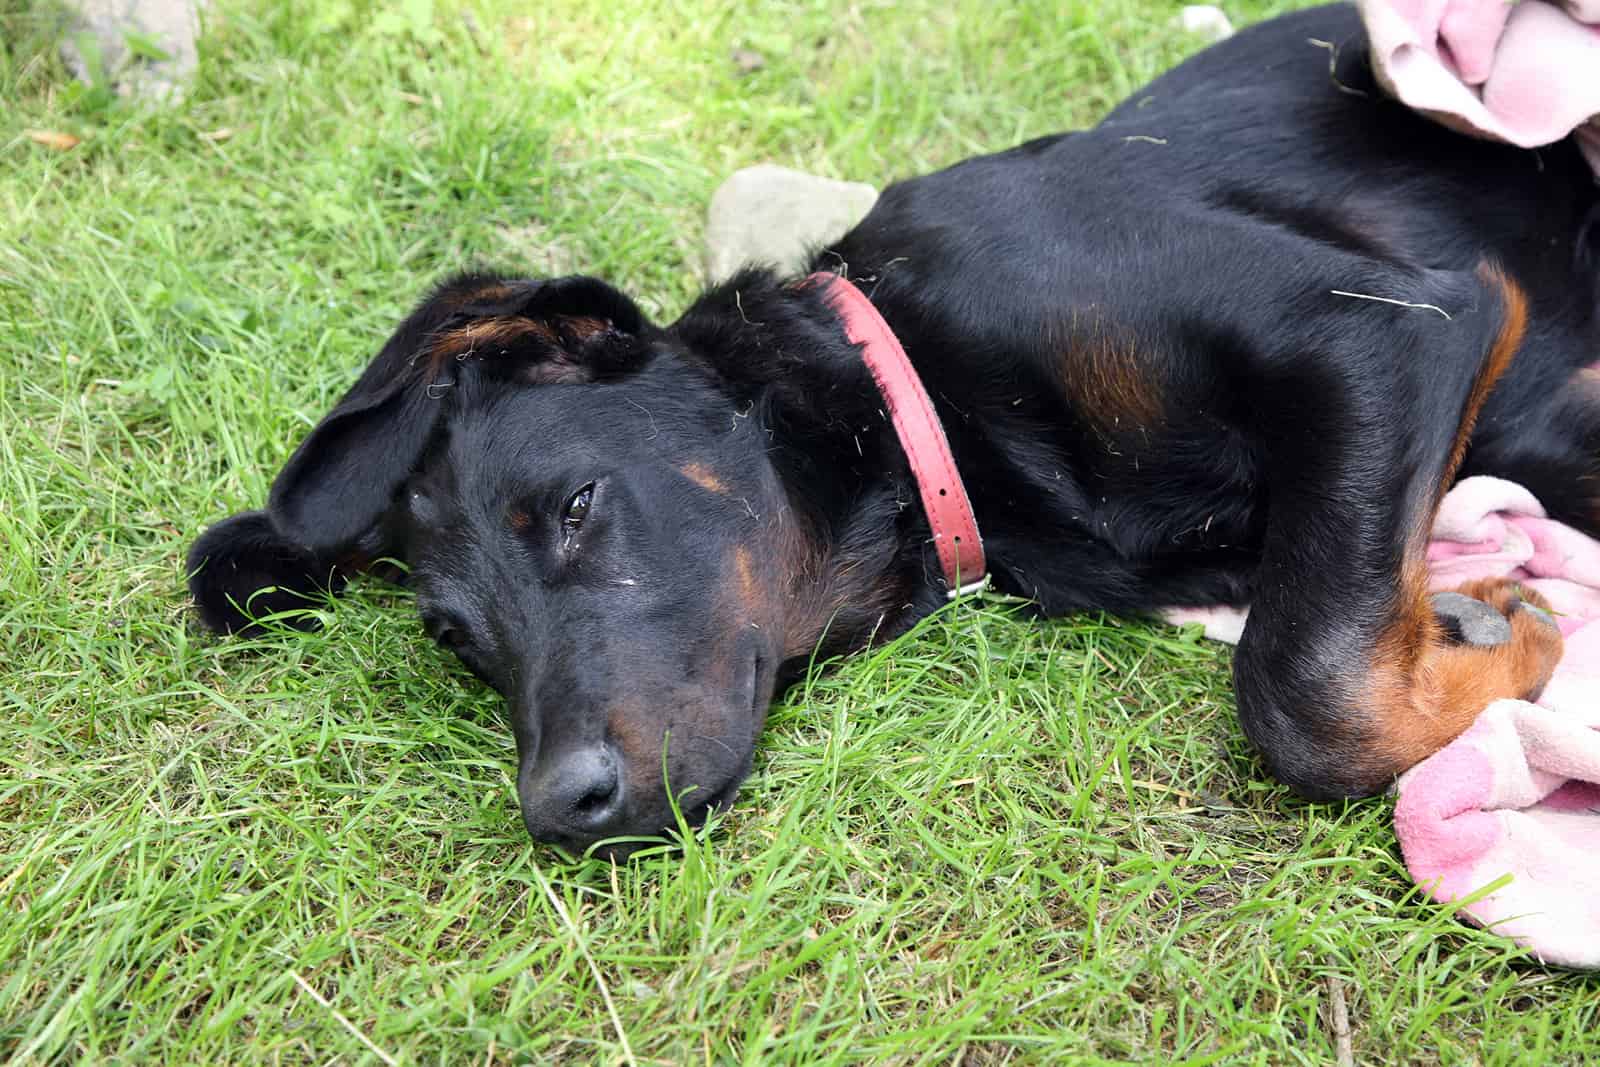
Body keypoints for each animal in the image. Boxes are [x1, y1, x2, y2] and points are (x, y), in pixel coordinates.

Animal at [187, 6, 1587, 857]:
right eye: (456, 640)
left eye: (576, 505)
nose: (559, 810)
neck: (925, 404)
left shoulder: (1382, 324)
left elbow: (1304, 684)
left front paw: (1499, 641)